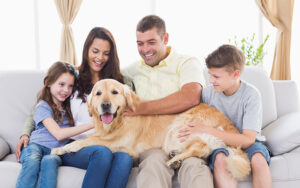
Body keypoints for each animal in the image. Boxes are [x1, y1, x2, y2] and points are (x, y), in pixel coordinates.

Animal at [52, 78, 251, 180]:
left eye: (115, 92)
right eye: (98, 93)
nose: (105, 105)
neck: (119, 121)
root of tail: (230, 126)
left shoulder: (122, 144)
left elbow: (91, 140)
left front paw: (64, 148)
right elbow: (90, 137)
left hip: (178, 126)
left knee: (201, 148)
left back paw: (175, 159)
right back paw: (176, 157)